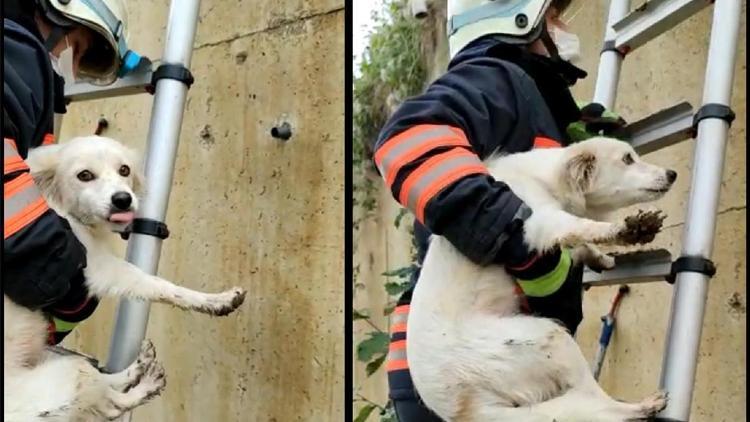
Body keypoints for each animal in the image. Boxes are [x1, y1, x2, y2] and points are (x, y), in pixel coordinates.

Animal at [4, 137, 248, 420]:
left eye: (124, 170)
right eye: (84, 175)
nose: (123, 199)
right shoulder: (96, 267)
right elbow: (157, 284)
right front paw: (215, 301)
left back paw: (139, 368)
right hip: (66, 374)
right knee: (111, 403)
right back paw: (145, 384)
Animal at [408, 137, 680, 420]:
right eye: (627, 159)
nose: (673, 174)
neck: (547, 179)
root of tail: (468, 409)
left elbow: (579, 246)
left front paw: (600, 258)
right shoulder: (537, 223)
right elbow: (581, 228)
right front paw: (628, 230)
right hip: (551, 337)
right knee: (598, 401)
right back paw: (642, 405)